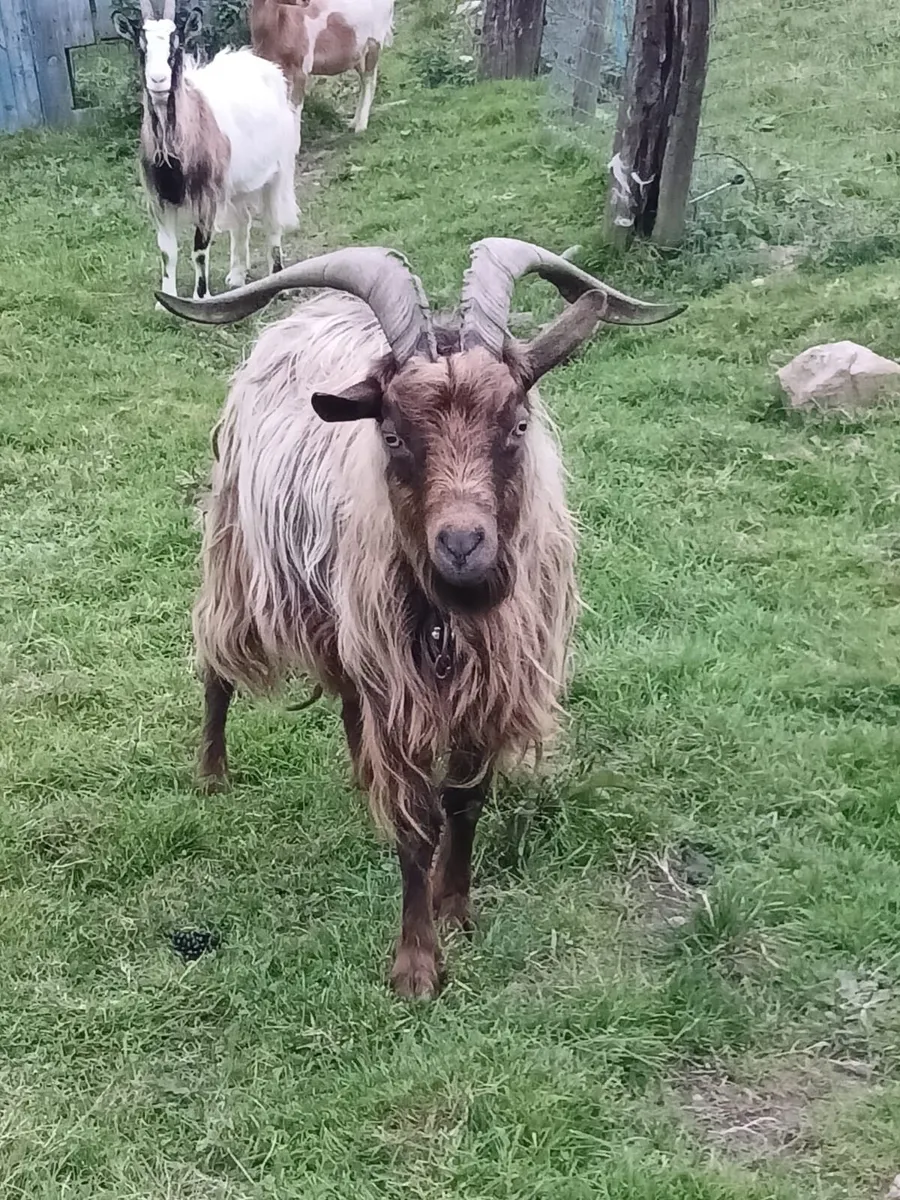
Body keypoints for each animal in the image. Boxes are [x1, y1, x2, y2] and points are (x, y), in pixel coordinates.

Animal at [113, 0, 298, 306]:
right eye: (141, 47)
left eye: (176, 46)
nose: (158, 80)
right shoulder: (158, 199)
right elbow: (167, 250)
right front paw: (165, 301)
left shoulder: (206, 196)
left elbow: (199, 248)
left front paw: (200, 298)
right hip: (236, 183)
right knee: (242, 220)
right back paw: (236, 276)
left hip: (278, 169)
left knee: (273, 222)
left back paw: (277, 279)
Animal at [156, 240, 684, 998]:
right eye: (393, 434)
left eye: (517, 425)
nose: (462, 542)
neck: (451, 617)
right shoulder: (400, 687)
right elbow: (416, 822)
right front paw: (415, 967)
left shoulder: (487, 683)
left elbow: (463, 801)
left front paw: (455, 906)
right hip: (235, 553)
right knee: (217, 666)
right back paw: (212, 773)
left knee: (348, 699)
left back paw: (357, 775)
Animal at [249, 0, 394, 142]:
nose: (306, 1)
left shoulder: (301, 68)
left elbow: (294, 107)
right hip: (358, 54)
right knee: (365, 80)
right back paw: (353, 123)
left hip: (374, 43)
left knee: (370, 80)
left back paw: (361, 127)